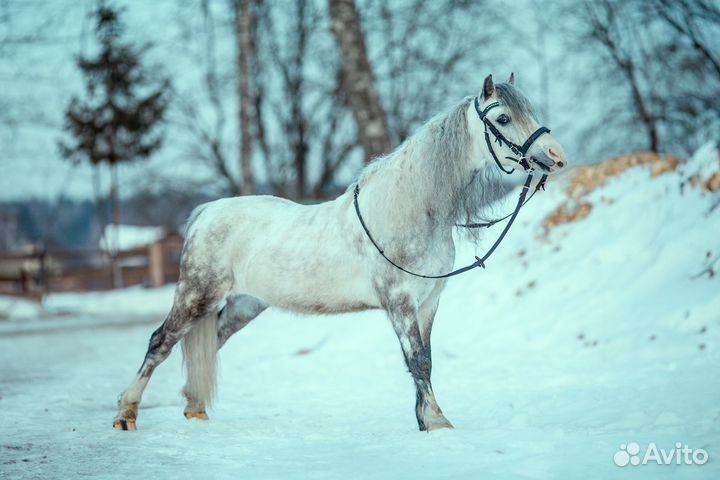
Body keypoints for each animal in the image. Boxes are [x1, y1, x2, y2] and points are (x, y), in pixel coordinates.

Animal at [113, 73, 567, 432]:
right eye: (503, 118)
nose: (556, 158)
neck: (410, 207)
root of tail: (207, 213)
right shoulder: (400, 303)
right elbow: (417, 361)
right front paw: (437, 423)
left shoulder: (428, 302)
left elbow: (427, 360)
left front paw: (426, 419)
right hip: (196, 294)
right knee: (161, 341)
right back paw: (126, 414)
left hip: (244, 303)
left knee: (213, 340)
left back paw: (194, 409)